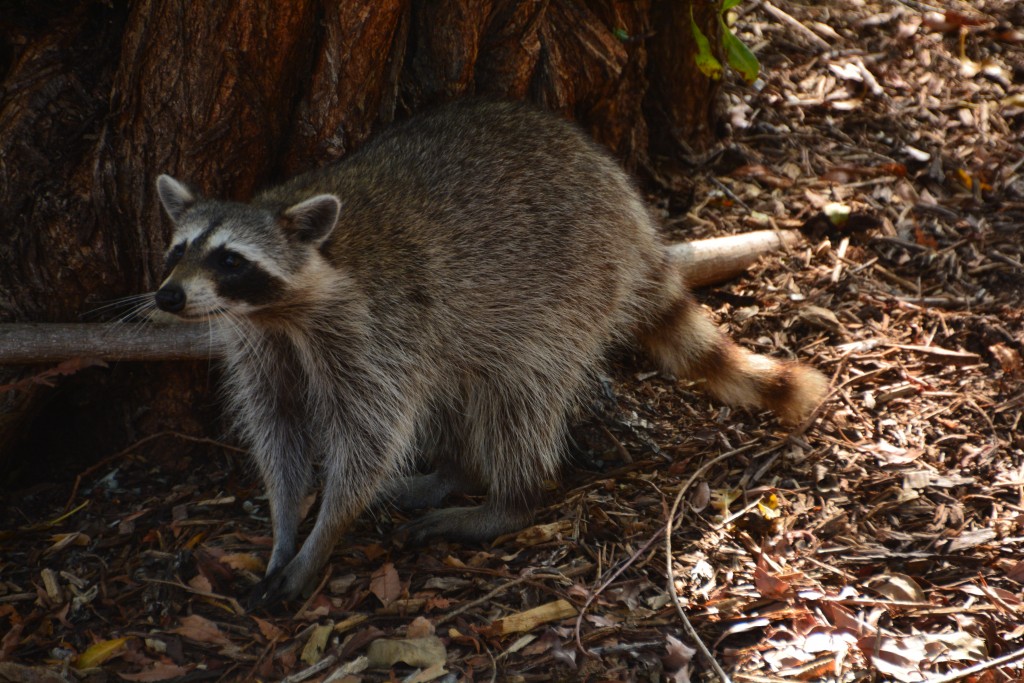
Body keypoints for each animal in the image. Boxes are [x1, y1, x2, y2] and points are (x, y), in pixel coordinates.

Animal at [152, 99, 827, 608]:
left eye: (230, 260)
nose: (167, 296)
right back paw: (454, 471)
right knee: (455, 384)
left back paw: (508, 498)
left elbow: (370, 439)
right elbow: (281, 429)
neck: (285, 310)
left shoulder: (379, 327)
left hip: (569, 287)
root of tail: (626, 203)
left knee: (519, 397)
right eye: (178, 250)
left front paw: (323, 536)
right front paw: (285, 527)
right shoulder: (265, 347)